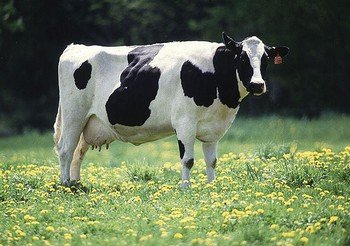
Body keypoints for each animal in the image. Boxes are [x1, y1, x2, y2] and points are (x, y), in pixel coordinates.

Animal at [54, 31, 290, 187]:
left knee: (78, 152)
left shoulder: (213, 128)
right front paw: (186, 188)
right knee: (66, 149)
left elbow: (212, 161)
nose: (258, 85)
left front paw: (212, 187)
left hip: (90, 122)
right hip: (74, 115)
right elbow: (188, 160)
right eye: (242, 58)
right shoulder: (185, 122)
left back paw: (76, 184)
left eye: (265, 59)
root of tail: (76, 47)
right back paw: (66, 185)